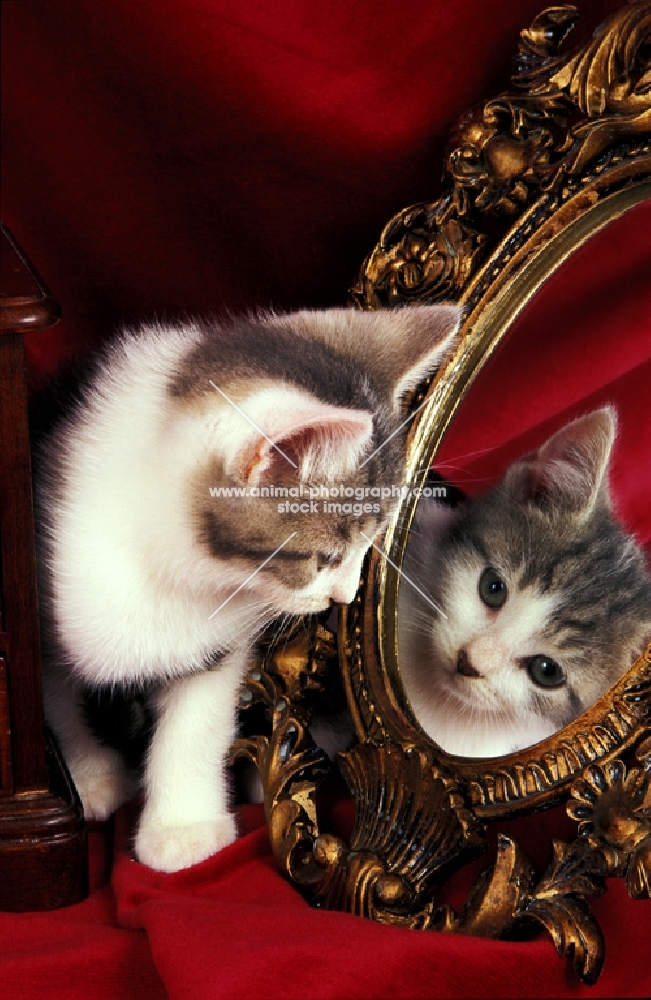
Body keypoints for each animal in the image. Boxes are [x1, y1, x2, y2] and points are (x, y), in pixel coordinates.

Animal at [35, 302, 460, 868]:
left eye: (369, 546)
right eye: (326, 558)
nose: (344, 597)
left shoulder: (216, 641)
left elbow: (198, 719)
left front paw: (182, 828)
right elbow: (55, 699)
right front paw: (89, 777)